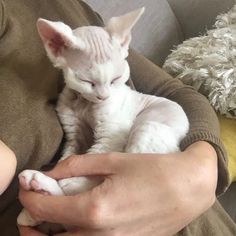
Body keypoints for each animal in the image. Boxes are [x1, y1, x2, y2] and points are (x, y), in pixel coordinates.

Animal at [17, 8, 189, 227]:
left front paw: (61, 185)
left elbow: (85, 168)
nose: (104, 96)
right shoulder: (75, 133)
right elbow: (69, 156)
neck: (85, 104)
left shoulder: (110, 137)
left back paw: (39, 188)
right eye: (86, 81)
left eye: (116, 79)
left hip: (148, 129)